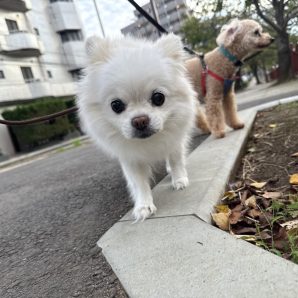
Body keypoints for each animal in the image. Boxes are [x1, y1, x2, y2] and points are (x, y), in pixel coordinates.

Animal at [77, 34, 198, 221]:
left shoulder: (174, 141)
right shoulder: (130, 156)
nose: (140, 120)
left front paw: (179, 180)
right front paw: (143, 206)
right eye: (116, 105)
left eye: (158, 98)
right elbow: (138, 182)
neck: (150, 142)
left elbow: (176, 160)